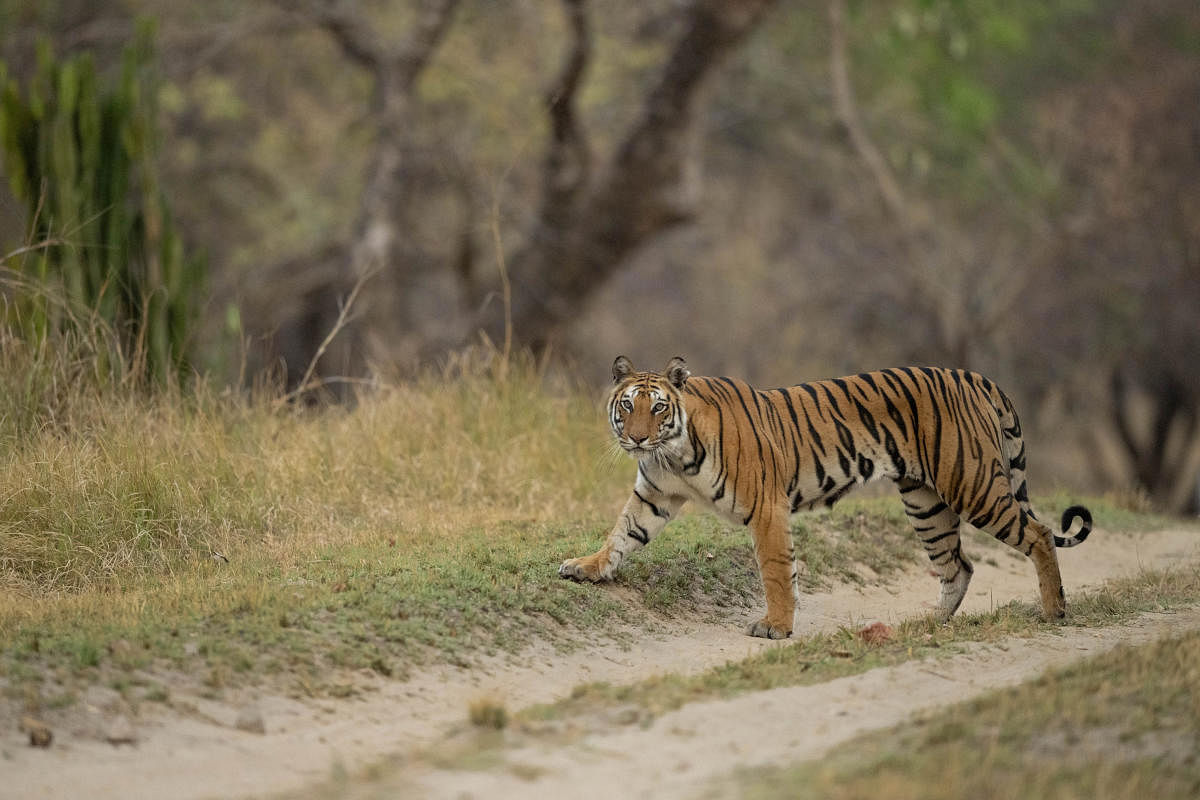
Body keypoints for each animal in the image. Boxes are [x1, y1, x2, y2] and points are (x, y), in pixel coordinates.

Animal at [556, 357, 1094, 638]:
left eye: (657, 408)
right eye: (628, 405)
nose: (637, 439)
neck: (673, 453)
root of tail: (975, 376)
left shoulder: (767, 506)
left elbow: (775, 570)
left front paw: (775, 627)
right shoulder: (654, 496)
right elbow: (621, 535)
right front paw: (586, 568)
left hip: (973, 484)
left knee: (1039, 534)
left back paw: (1054, 612)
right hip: (925, 502)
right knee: (957, 565)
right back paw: (929, 624)